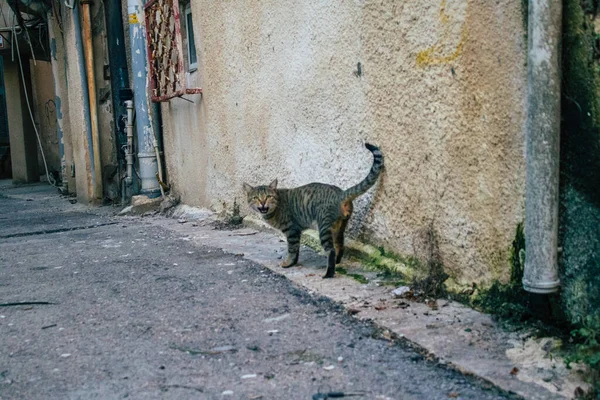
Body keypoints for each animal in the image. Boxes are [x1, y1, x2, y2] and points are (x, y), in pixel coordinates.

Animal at [244, 143, 384, 278]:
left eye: (268, 196)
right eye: (255, 198)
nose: (262, 202)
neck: (277, 206)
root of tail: (340, 194)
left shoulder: (291, 230)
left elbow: (292, 249)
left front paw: (288, 263)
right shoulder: (296, 231)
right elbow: (296, 250)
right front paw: (293, 262)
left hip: (324, 227)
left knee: (331, 250)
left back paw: (328, 274)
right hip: (339, 227)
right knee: (340, 246)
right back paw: (337, 263)